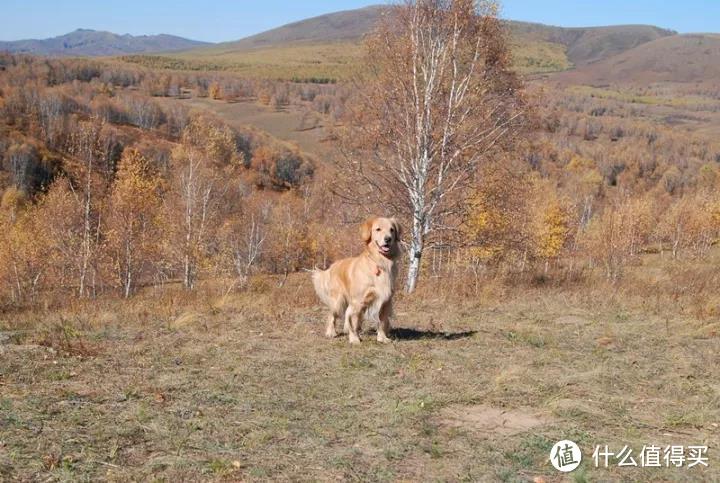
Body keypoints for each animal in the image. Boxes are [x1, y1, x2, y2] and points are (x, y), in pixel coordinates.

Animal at [312, 216, 402, 344]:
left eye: (392, 230)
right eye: (378, 229)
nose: (388, 239)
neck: (380, 263)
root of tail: (332, 266)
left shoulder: (386, 301)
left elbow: (382, 321)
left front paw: (382, 338)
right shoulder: (358, 301)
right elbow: (352, 321)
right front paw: (354, 339)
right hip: (338, 301)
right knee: (332, 314)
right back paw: (331, 332)